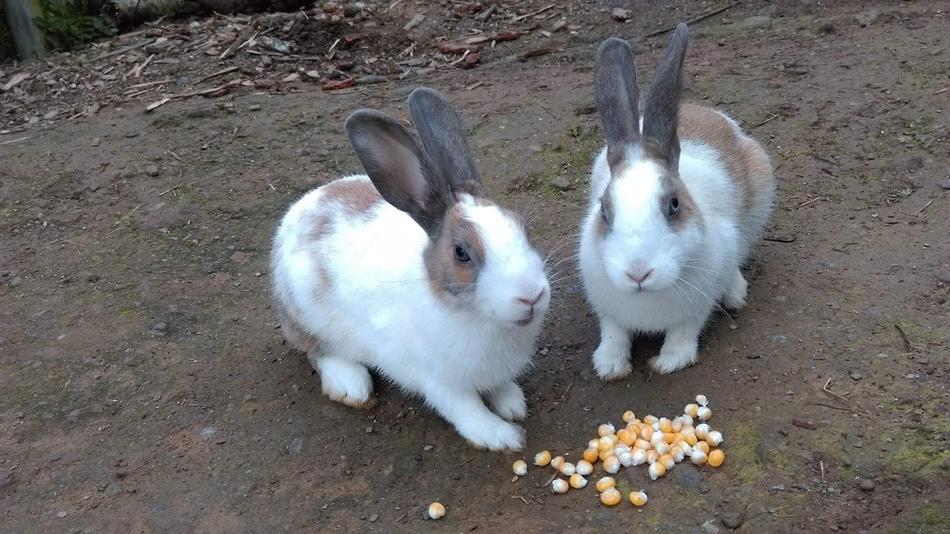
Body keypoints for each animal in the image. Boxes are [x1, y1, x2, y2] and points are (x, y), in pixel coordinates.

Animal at [270, 87, 550, 451]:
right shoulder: (438, 381)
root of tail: (300, 209)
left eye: (524, 229)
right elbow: (466, 409)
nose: (531, 295)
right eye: (461, 253)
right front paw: (502, 436)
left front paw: (513, 403)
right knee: (318, 353)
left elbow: (500, 386)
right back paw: (351, 385)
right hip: (308, 318)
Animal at [579, 24, 775, 379]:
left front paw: (669, 361)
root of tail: (705, 111)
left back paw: (735, 293)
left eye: (673, 204)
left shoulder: (696, 306)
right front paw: (610, 365)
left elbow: (683, 331)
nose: (638, 273)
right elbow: (614, 332)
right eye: (604, 210)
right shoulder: (608, 310)